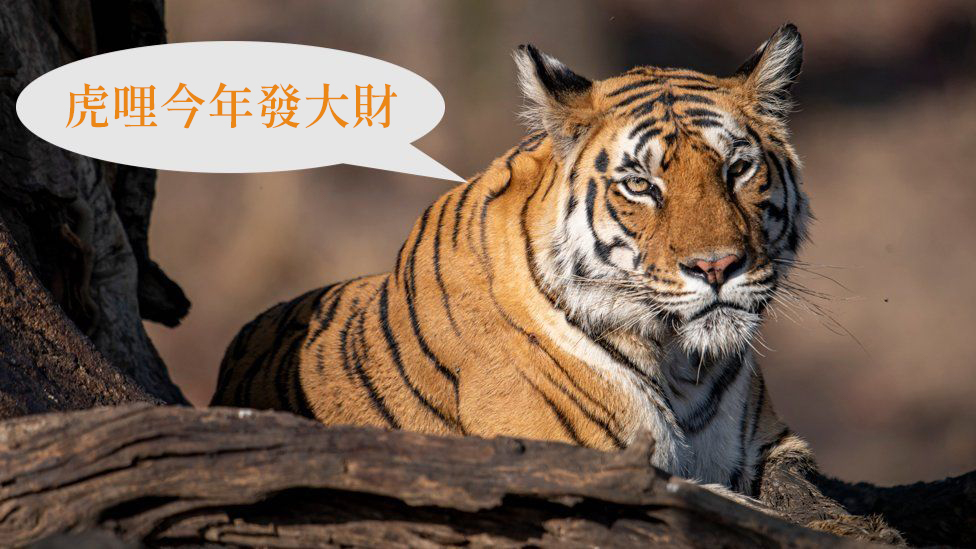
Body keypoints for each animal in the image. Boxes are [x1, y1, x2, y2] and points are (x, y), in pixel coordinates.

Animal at [212, 24, 900, 541]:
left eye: (737, 169)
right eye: (641, 185)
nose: (716, 267)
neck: (681, 363)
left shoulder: (770, 446)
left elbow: (801, 496)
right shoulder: (575, 467)